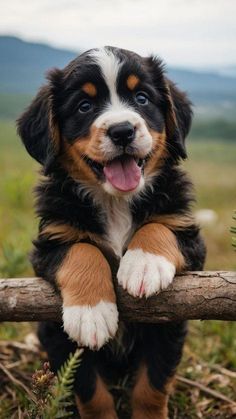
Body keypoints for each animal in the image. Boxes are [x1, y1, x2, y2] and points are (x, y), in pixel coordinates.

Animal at [17, 46, 205, 419]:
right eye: (84, 106)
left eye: (142, 98)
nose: (122, 131)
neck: (115, 202)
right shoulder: (51, 241)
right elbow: (81, 250)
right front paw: (91, 312)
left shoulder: (187, 240)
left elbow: (151, 388)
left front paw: (143, 265)